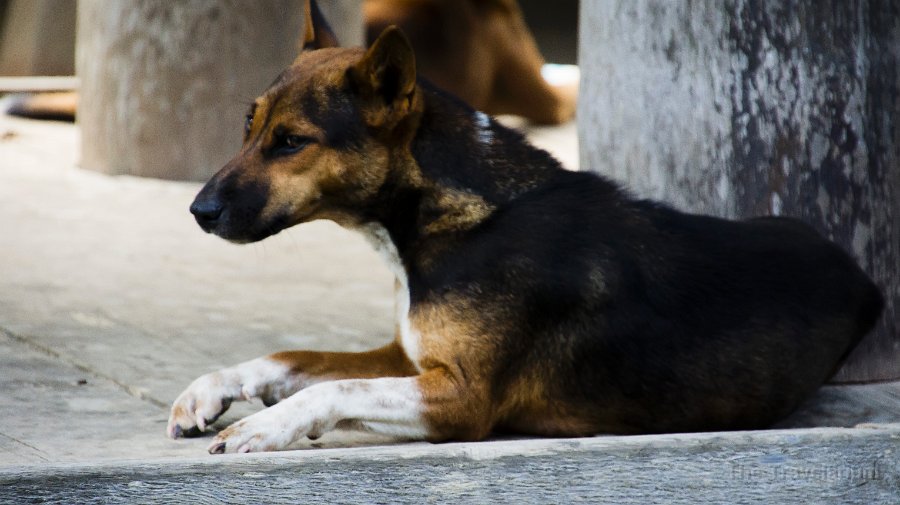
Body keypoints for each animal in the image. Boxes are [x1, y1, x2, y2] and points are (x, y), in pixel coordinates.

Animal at [165, 2, 884, 452]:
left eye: (291, 142)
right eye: (249, 126)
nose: (198, 212)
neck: (443, 218)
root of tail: (863, 276)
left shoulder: (461, 397)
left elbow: (335, 385)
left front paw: (270, 426)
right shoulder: (408, 355)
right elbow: (289, 358)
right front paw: (209, 390)